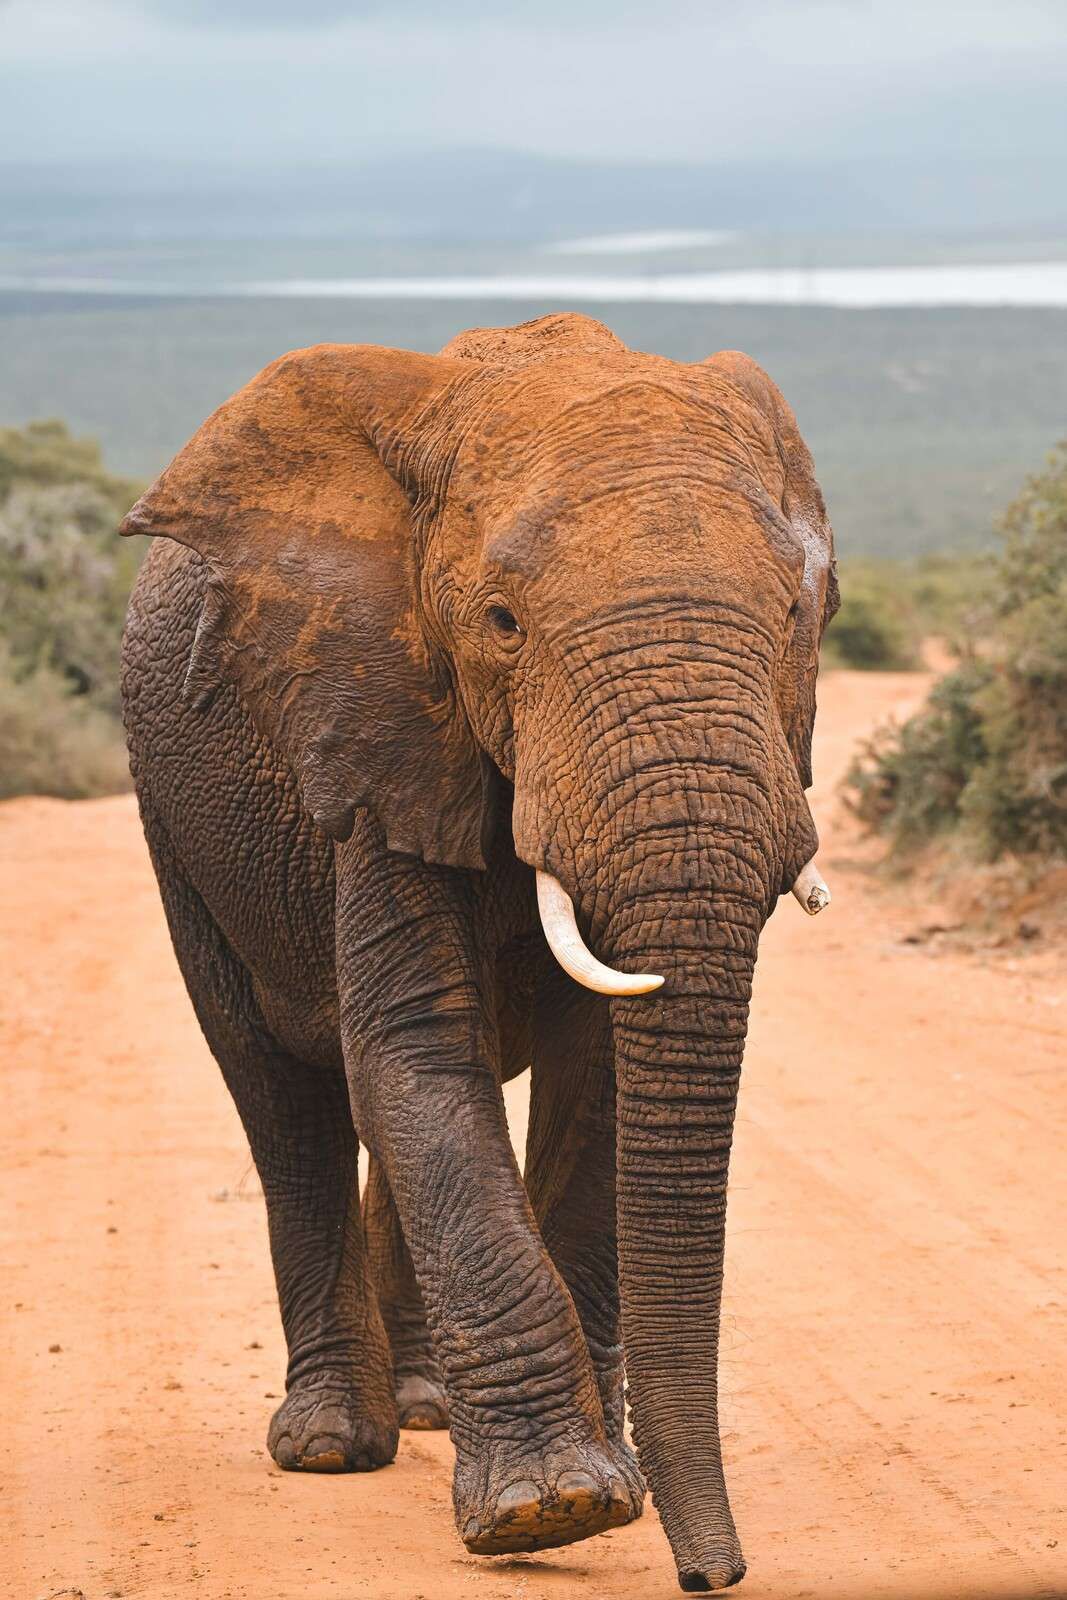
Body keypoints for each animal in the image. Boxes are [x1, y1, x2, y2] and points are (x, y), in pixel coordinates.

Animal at [119, 311, 837, 1593]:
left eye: (797, 617)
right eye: (501, 625)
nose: (710, 1572)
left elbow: (595, 1078)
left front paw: (606, 1486)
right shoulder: (376, 715)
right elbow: (415, 1049)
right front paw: (551, 1507)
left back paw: (421, 1410)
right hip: (177, 823)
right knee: (283, 1095)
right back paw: (333, 1442)